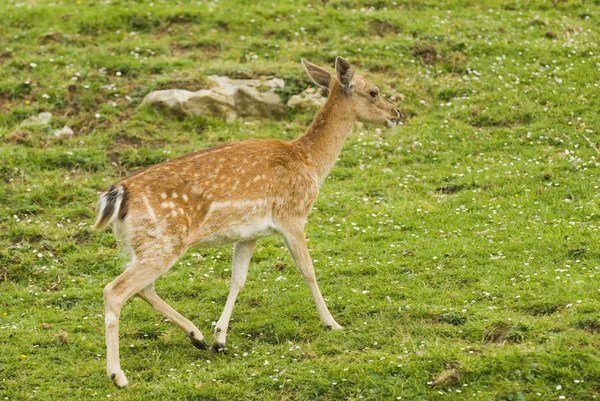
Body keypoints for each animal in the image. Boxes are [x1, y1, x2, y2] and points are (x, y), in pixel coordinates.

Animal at [94, 57, 400, 388]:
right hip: (163, 241)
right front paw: (332, 323)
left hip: (147, 245)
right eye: (373, 91)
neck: (311, 163)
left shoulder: (249, 233)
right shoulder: (292, 216)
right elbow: (309, 271)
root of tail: (117, 194)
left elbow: (238, 279)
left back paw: (197, 336)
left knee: (143, 288)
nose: (397, 112)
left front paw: (219, 339)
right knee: (115, 290)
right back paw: (118, 375)